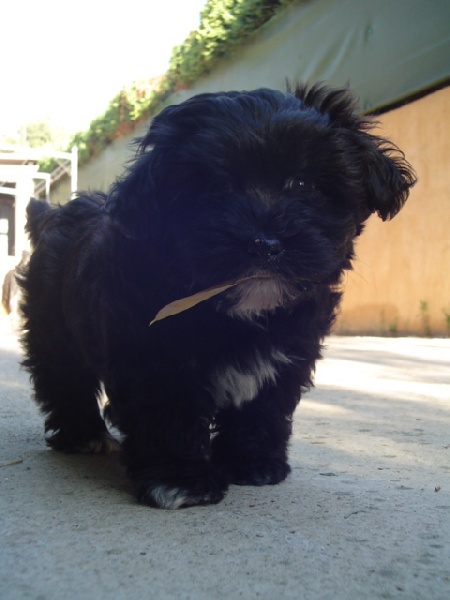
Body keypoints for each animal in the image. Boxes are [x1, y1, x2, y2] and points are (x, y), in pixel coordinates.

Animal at [20, 83, 414, 506]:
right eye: (214, 190)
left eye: (302, 184)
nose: (265, 243)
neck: (236, 314)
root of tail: (54, 214)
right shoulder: (156, 360)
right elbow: (169, 414)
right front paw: (180, 480)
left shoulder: (287, 356)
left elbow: (264, 409)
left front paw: (252, 463)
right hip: (54, 328)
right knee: (63, 377)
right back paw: (84, 434)